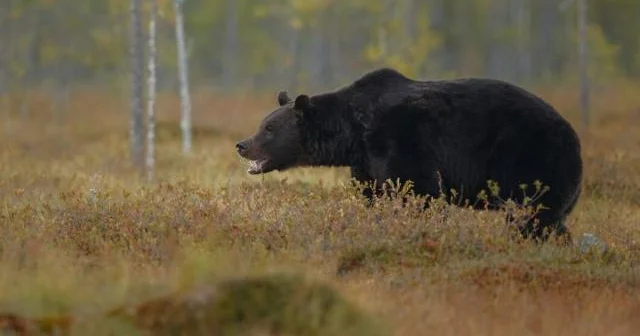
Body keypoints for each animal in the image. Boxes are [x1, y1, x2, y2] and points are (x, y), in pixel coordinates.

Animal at [236, 67, 584, 243]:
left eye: (269, 128)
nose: (242, 144)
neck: (354, 132)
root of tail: (574, 135)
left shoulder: (402, 139)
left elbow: (419, 190)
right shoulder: (366, 162)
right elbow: (375, 194)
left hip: (533, 158)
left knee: (533, 213)